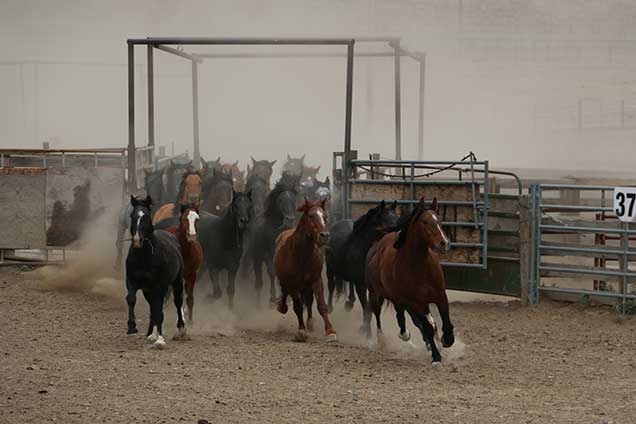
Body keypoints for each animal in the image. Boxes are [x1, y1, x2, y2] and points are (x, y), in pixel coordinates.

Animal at [125, 195, 188, 348]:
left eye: (146, 216)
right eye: (132, 215)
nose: (137, 240)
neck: (144, 257)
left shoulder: (159, 286)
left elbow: (159, 311)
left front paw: (160, 339)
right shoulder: (132, 281)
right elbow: (131, 299)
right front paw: (132, 326)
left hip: (176, 283)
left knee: (177, 302)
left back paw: (181, 329)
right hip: (148, 291)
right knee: (153, 307)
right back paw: (150, 333)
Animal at [246, 172, 300, 304]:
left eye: (293, 199)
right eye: (280, 200)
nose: (290, 220)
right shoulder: (269, 254)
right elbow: (272, 272)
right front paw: (273, 296)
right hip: (257, 257)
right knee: (259, 280)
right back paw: (259, 302)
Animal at [270, 198, 336, 342]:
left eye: (325, 216)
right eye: (311, 216)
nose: (324, 235)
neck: (301, 255)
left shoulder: (316, 280)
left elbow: (321, 305)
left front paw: (330, 332)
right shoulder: (292, 284)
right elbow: (298, 307)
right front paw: (301, 331)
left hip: (307, 286)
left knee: (309, 300)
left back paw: (310, 323)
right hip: (285, 281)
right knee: (285, 292)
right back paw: (282, 307)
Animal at [366, 196, 454, 364]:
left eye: (439, 220)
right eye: (424, 222)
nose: (444, 243)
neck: (420, 268)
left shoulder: (440, 296)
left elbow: (445, 322)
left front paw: (446, 340)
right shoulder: (414, 302)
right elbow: (425, 326)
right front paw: (436, 357)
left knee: (407, 317)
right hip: (377, 294)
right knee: (380, 315)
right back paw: (386, 339)